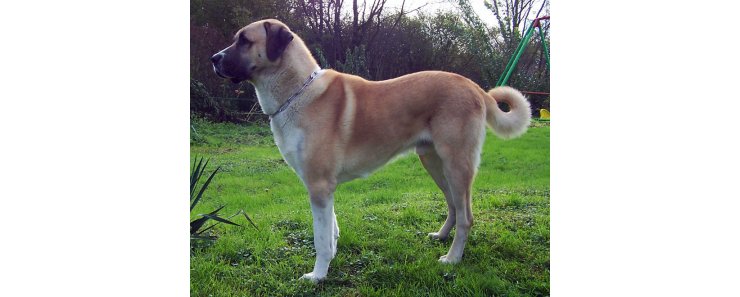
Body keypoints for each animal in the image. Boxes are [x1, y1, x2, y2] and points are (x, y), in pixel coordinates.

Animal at [210, 19, 532, 282]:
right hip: (434, 162)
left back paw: (452, 258)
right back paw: (441, 237)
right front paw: (330, 260)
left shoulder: (318, 186)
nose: (214, 59)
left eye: (244, 40)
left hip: (457, 165)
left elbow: (320, 238)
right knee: (453, 206)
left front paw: (317, 275)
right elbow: (332, 230)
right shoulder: (325, 189)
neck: (297, 92)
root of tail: (475, 87)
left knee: (466, 216)